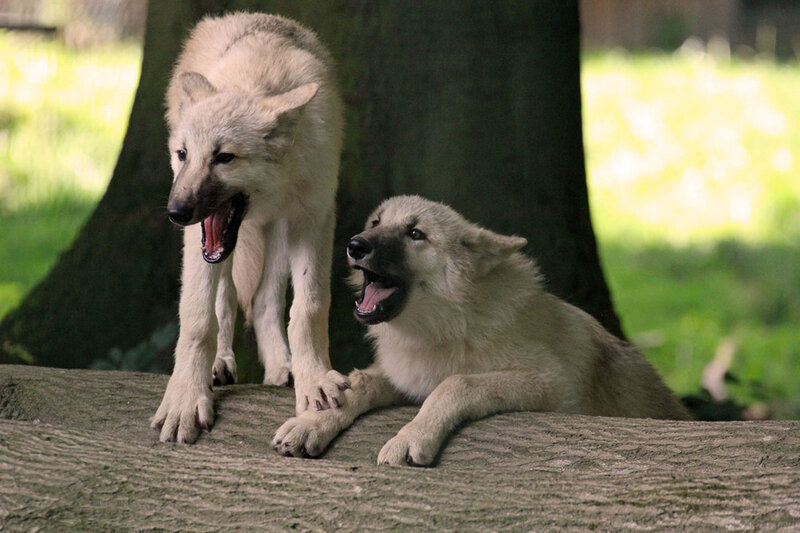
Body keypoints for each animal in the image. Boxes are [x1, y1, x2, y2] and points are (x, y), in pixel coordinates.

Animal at [152, 12, 348, 444]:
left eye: (224, 157)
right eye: (183, 154)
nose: (175, 212)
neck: (258, 77)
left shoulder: (314, 217)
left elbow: (308, 308)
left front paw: (313, 381)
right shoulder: (199, 240)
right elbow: (198, 320)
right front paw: (185, 400)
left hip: (279, 230)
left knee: (262, 301)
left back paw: (282, 368)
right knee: (225, 301)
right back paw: (220, 364)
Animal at [272, 195, 691, 465]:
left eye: (415, 234)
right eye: (377, 223)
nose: (354, 245)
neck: (454, 321)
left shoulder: (551, 385)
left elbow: (456, 383)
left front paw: (411, 437)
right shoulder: (404, 376)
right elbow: (355, 386)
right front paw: (311, 425)